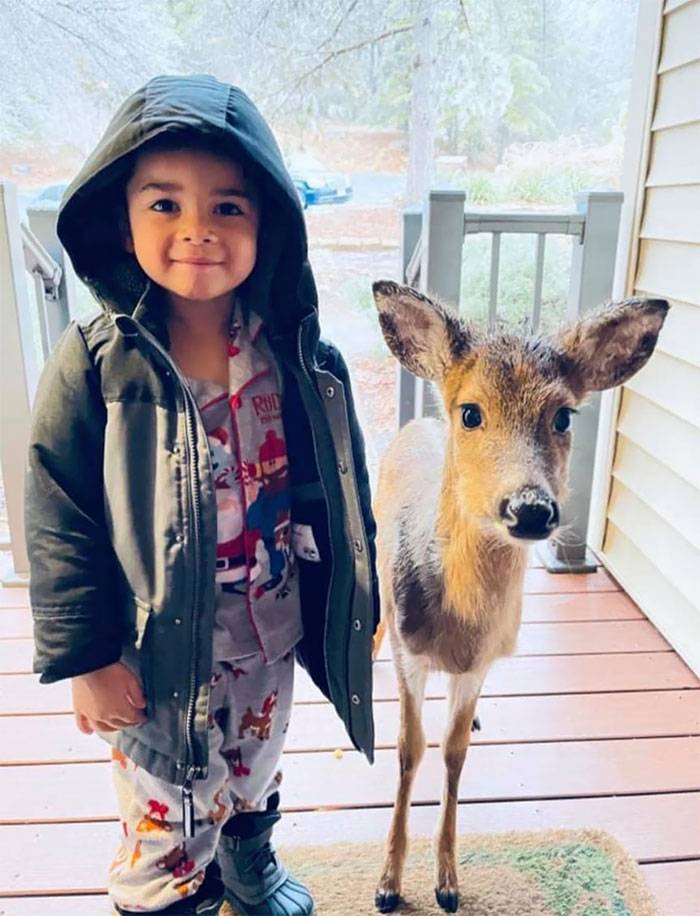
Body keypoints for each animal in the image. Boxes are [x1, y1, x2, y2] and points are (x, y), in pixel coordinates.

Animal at [370, 280, 669, 913]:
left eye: (563, 414)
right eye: (471, 412)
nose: (530, 508)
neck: (458, 628)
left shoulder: (481, 662)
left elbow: (454, 751)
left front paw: (448, 882)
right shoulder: (410, 652)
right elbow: (409, 749)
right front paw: (388, 884)